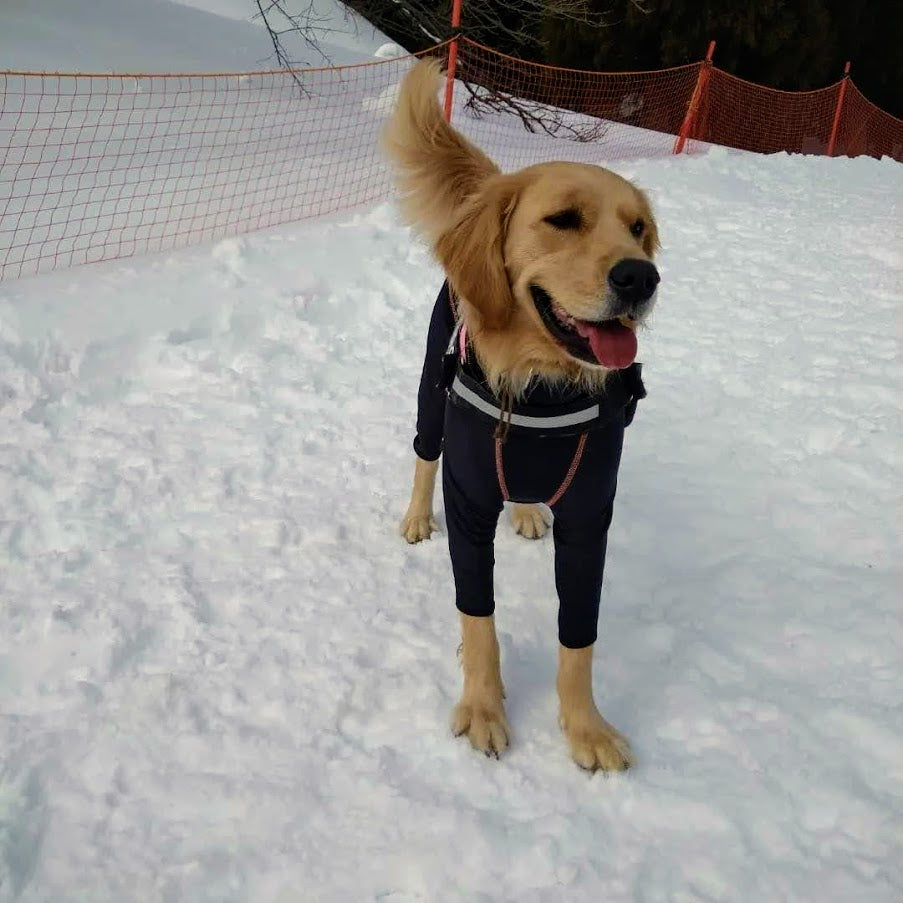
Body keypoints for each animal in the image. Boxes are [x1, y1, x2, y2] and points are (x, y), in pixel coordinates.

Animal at [384, 61, 660, 768]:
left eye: (637, 228)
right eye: (562, 219)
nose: (641, 277)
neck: (542, 390)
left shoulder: (590, 520)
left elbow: (579, 638)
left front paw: (585, 725)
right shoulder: (470, 504)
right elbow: (479, 620)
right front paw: (484, 706)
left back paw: (530, 508)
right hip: (430, 397)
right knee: (423, 454)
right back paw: (416, 516)